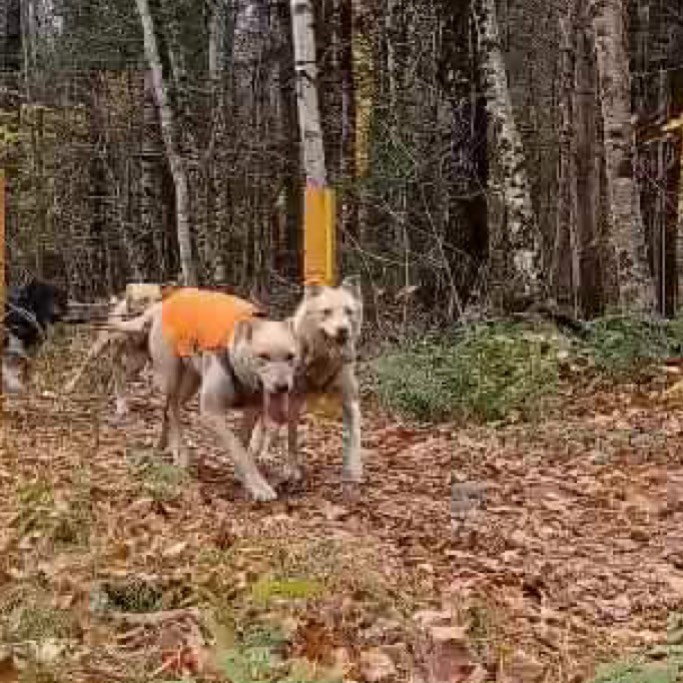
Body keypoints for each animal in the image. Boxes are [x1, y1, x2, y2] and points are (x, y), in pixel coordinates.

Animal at [66, 284, 167, 416]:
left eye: (158, 299)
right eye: (144, 299)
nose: (160, 311)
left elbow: (121, 381)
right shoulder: (115, 356)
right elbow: (119, 383)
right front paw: (121, 404)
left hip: (136, 363)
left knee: (126, 375)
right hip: (97, 348)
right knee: (85, 365)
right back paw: (71, 384)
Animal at [108, 288, 298, 502]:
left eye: (290, 356)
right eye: (263, 356)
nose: (283, 387)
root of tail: (161, 305)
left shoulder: (252, 411)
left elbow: (242, 446)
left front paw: (245, 478)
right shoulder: (211, 413)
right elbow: (237, 449)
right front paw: (260, 487)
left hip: (190, 383)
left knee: (169, 411)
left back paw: (166, 446)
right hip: (170, 376)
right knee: (171, 409)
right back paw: (181, 454)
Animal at [247, 276, 364, 486]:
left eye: (349, 311)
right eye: (326, 311)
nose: (343, 330)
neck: (322, 360)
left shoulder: (350, 401)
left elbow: (355, 436)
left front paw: (354, 470)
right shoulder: (293, 402)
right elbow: (292, 440)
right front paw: (292, 470)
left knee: (271, 430)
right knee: (261, 427)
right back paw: (255, 452)